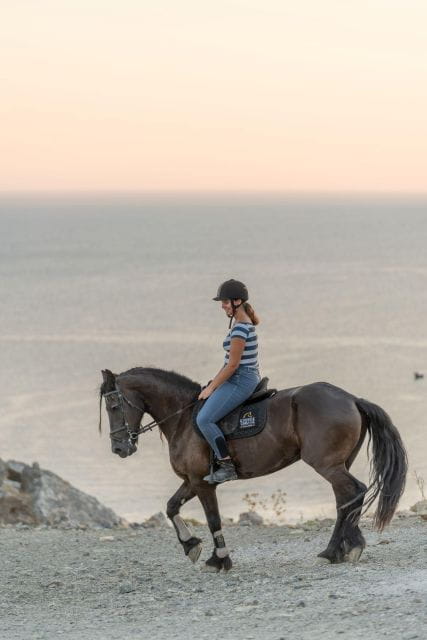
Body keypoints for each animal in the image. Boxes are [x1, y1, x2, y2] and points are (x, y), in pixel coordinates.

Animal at [99, 367, 407, 571]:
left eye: (114, 405)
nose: (119, 448)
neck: (184, 417)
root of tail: (352, 398)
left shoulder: (202, 482)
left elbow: (213, 519)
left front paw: (219, 559)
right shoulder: (191, 481)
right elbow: (171, 506)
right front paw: (191, 545)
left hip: (327, 465)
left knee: (355, 491)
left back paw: (346, 548)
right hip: (338, 464)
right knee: (345, 500)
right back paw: (335, 551)